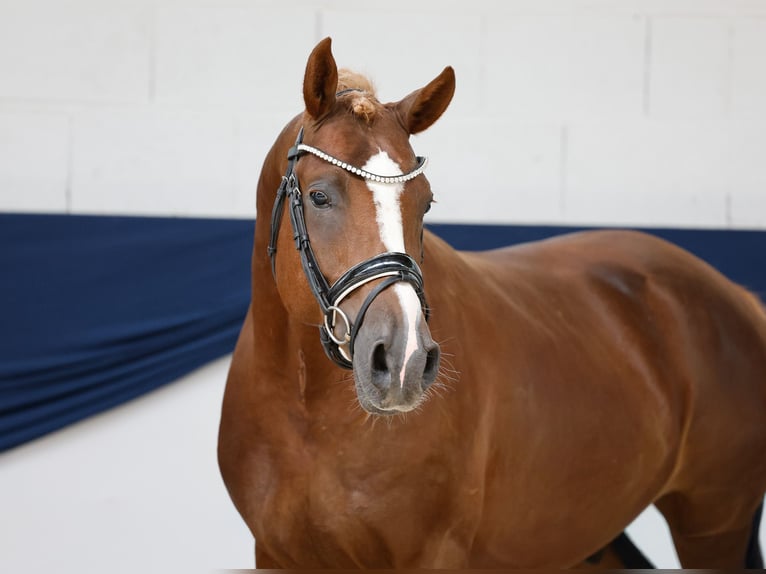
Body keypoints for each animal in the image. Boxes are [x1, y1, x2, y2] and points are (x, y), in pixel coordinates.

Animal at [218, 37, 766, 568]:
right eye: (319, 196)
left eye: (426, 202)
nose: (403, 359)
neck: (308, 416)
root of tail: (739, 298)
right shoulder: (274, 555)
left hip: (714, 530)